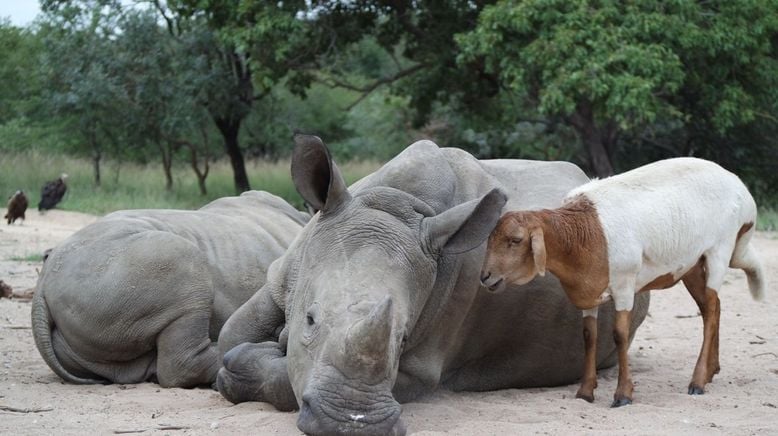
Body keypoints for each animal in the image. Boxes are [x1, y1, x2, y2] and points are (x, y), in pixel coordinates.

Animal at [478, 158, 764, 408]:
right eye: (490, 238)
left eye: (515, 240)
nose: (485, 277)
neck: (584, 233)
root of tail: (740, 187)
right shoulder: (588, 290)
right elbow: (589, 336)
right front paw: (585, 392)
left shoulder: (625, 284)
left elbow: (620, 335)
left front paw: (623, 395)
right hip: (691, 264)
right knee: (710, 308)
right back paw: (711, 371)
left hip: (719, 249)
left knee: (712, 309)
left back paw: (698, 381)